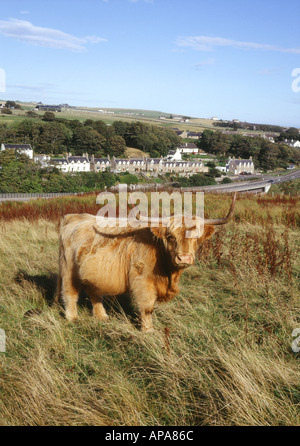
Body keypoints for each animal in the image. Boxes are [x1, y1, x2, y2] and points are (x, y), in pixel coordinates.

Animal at [56, 195, 234, 332]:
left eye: (196, 237)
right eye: (170, 237)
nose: (184, 258)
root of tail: (74, 217)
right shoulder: (143, 282)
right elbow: (147, 308)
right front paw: (148, 330)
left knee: (94, 292)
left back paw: (102, 316)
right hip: (68, 269)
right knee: (70, 293)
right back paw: (72, 318)